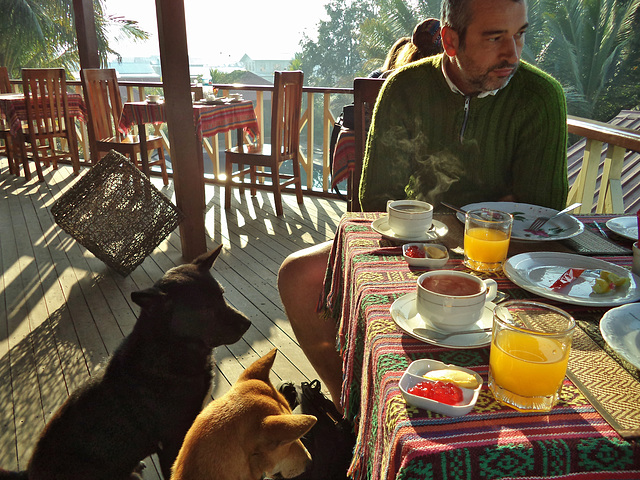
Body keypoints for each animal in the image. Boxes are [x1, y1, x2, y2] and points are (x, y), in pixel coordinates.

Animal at [1, 248, 251, 480]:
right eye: (205, 308)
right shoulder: (171, 441)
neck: (170, 349)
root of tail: (28, 473)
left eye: (222, 294)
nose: (247, 322)